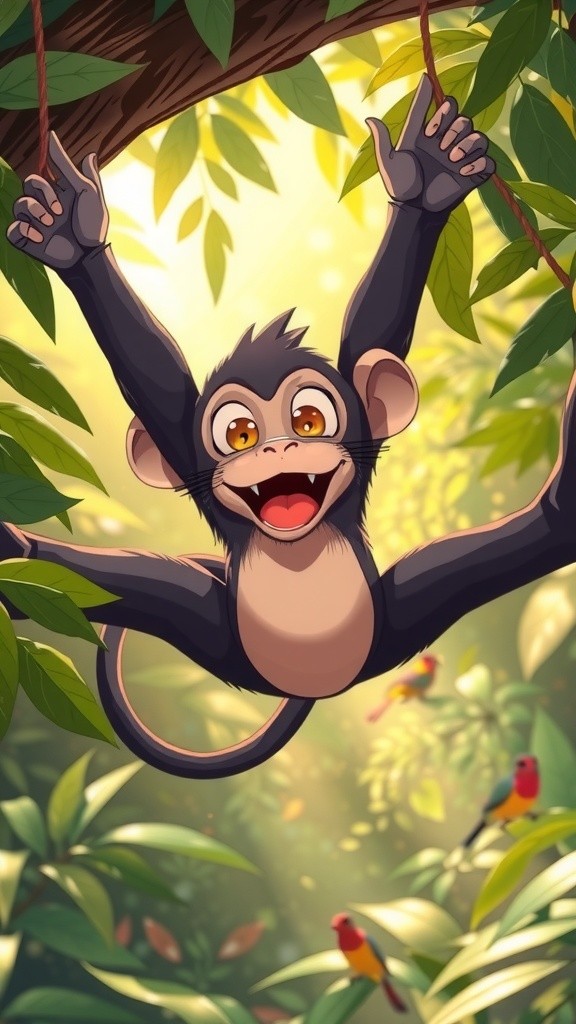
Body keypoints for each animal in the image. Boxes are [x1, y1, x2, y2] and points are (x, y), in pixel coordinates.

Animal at [4, 74, 571, 780]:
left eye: (309, 419)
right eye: (239, 434)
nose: (277, 447)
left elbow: (372, 339)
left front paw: (426, 183)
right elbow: (159, 389)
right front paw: (73, 240)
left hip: (399, 618)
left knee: (540, 533)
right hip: (213, 629)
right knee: (92, 583)